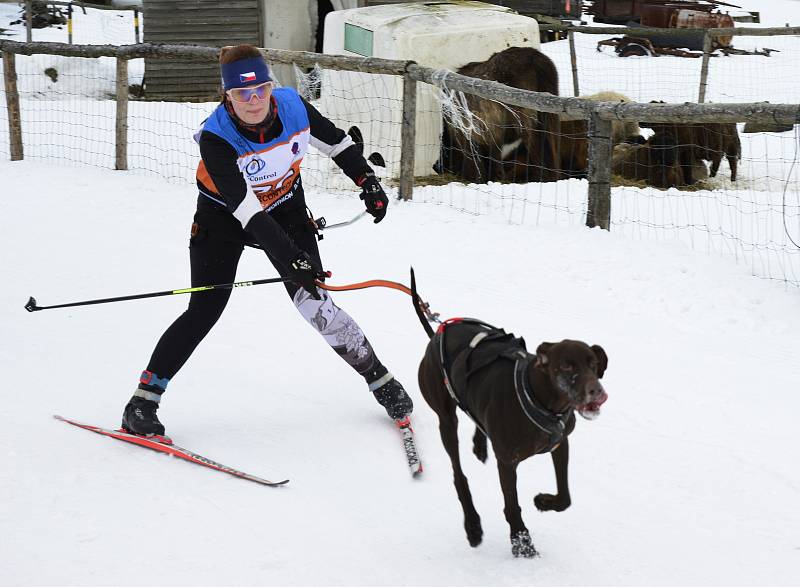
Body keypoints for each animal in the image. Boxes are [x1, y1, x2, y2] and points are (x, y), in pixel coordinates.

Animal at [412, 270, 608, 556]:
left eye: (593, 365)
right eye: (567, 366)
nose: (598, 392)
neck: (540, 399)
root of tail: (437, 333)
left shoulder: (561, 444)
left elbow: (565, 498)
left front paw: (543, 501)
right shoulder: (506, 462)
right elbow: (512, 505)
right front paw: (522, 542)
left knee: (476, 418)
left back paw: (480, 443)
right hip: (446, 419)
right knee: (459, 475)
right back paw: (472, 525)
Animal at [438, 49, 564, 185]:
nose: (437, 167)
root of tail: (537, 60)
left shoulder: (471, 135)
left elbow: (480, 163)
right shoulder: (491, 134)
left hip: (528, 122)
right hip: (550, 115)